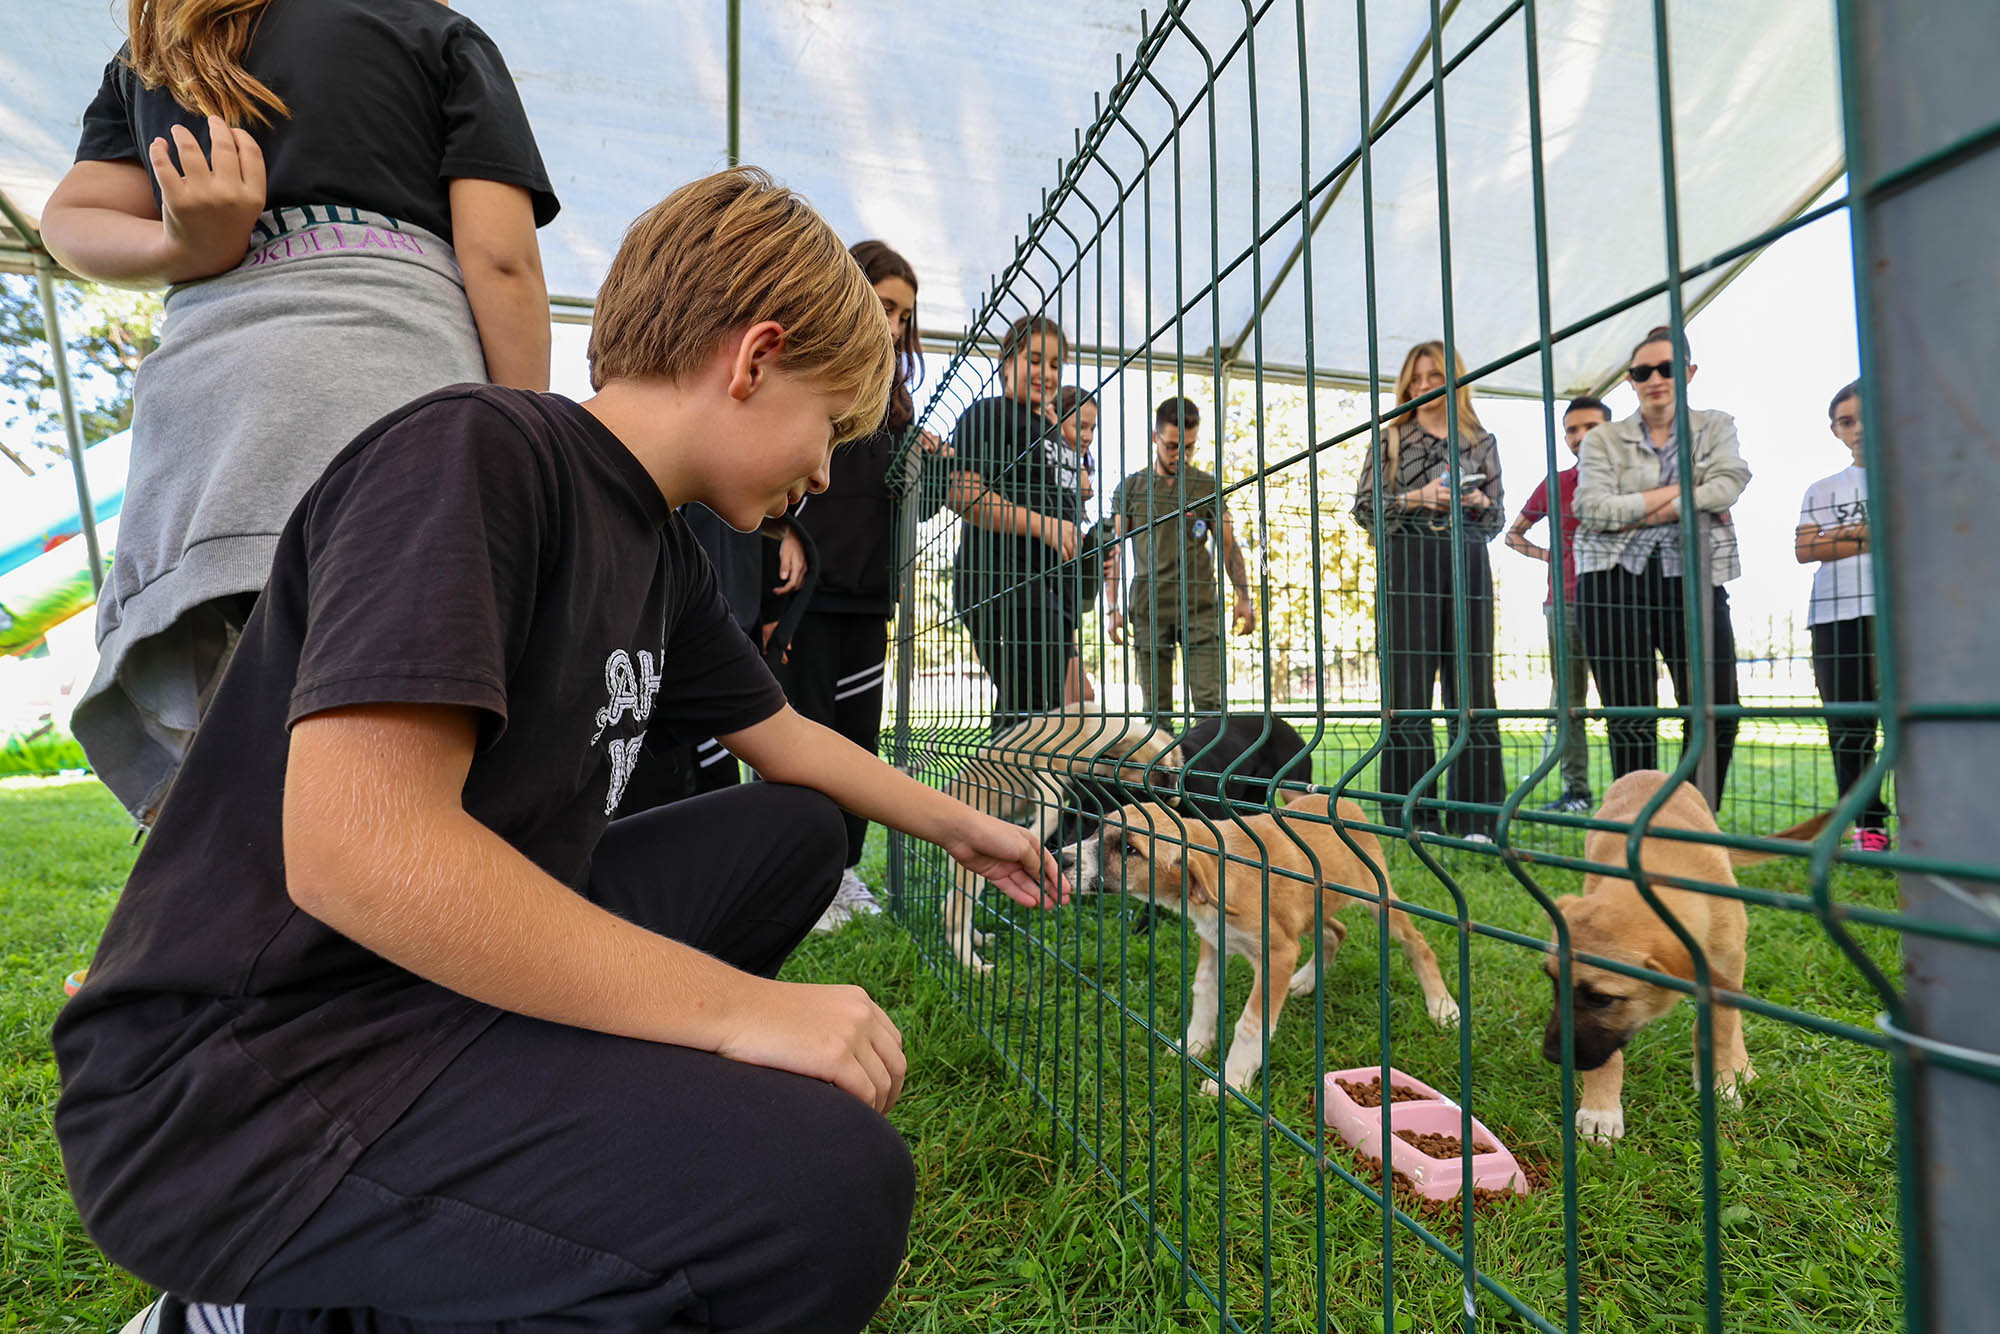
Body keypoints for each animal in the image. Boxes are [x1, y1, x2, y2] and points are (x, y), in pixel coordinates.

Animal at [944, 708, 1176, 972]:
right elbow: (1052, 807)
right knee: (953, 913)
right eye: (1140, 790)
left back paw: (979, 940)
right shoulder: (1043, 763)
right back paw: (972, 965)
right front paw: (1035, 834)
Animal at [1056, 792, 1464, 1096]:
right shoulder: (1214, 940)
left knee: (1417, 943)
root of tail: (1345, 804)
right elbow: (1204, 992)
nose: (1061, 858)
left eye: (1129, 850)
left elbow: (1251, 1024)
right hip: (1310, 912)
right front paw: (1193, 1045)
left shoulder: (1277, 954)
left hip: (1380, 904)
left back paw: (1442, 1006)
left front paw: (1232, 1080)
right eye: (1096, 830)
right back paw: (1306, 981)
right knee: (1336, 932)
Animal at [1544, 776, 1832, 1144]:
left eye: (1600, 998)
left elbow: (1721, 1027)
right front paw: (1601, 1108)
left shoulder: (1724, 963)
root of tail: (1646, 772)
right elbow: (1610, 1057)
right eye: (1552, 980)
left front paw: (1722, 1084)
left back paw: (1740, 1064)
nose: (1551, 1056)